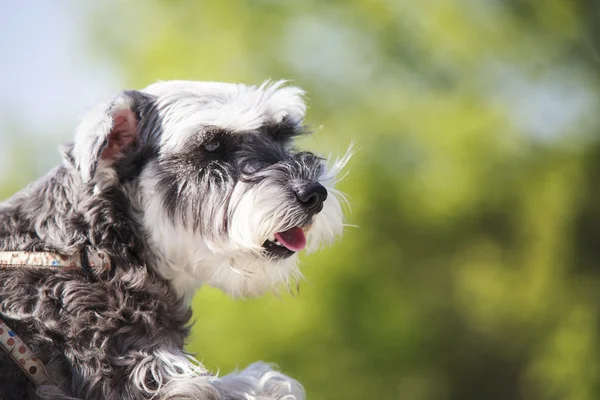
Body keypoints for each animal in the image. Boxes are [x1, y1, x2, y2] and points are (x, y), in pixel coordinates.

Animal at [0, 81, 350, 400]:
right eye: (212, 146)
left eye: (280, 134)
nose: (313, 194)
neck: (98, 251)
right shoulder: (147, 377)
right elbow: (272, 381)